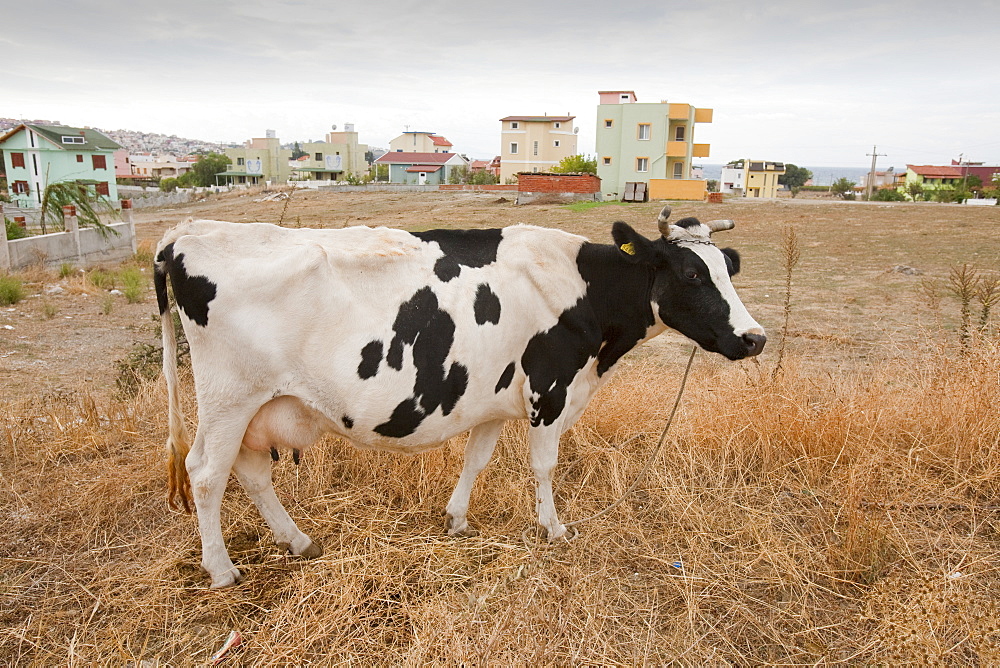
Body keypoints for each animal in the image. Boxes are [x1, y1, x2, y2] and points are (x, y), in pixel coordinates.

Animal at [154, 204, 764, 584]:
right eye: (691, 274)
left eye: (727, 269)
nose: (755, 338)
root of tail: (188, 231)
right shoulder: (550, 389)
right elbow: (544, 466)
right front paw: (553, 528)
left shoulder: (494, 394)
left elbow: (477, 457)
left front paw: (457, 520)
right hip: (228, 399)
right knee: (206, 474)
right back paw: (221, 570)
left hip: (259, 406)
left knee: (251, 471)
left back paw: (298, 541)